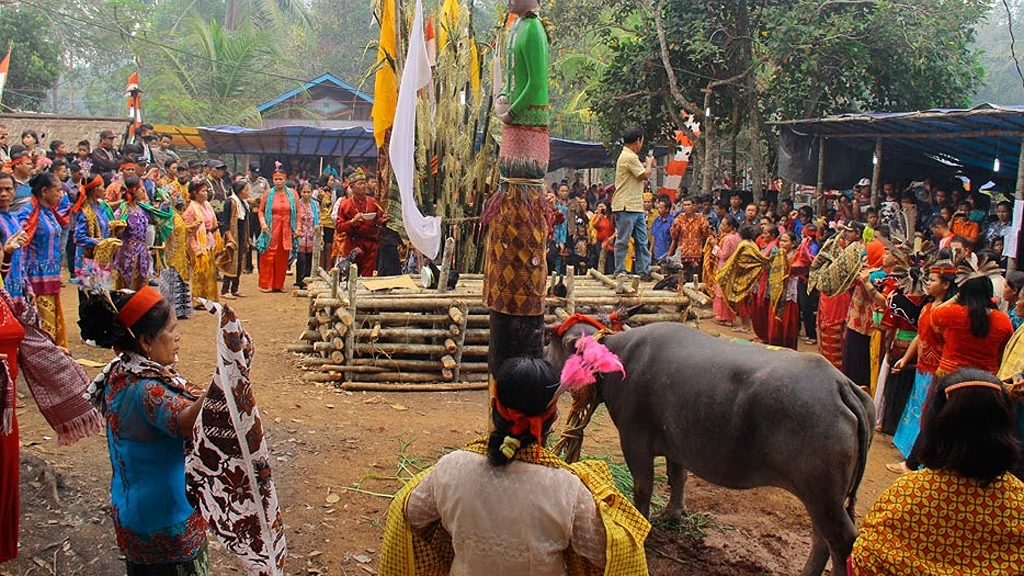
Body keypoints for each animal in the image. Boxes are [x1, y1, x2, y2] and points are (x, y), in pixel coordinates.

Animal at [548, 319, 876, 569]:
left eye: (549, 341)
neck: (618, 358)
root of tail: (840, 385)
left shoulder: (634, 439)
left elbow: (643, 488)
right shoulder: (674, 443)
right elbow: (677, 476)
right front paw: (673, 513)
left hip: (822, 495)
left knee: (841, 541)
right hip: (824, 497)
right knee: (822, 540)